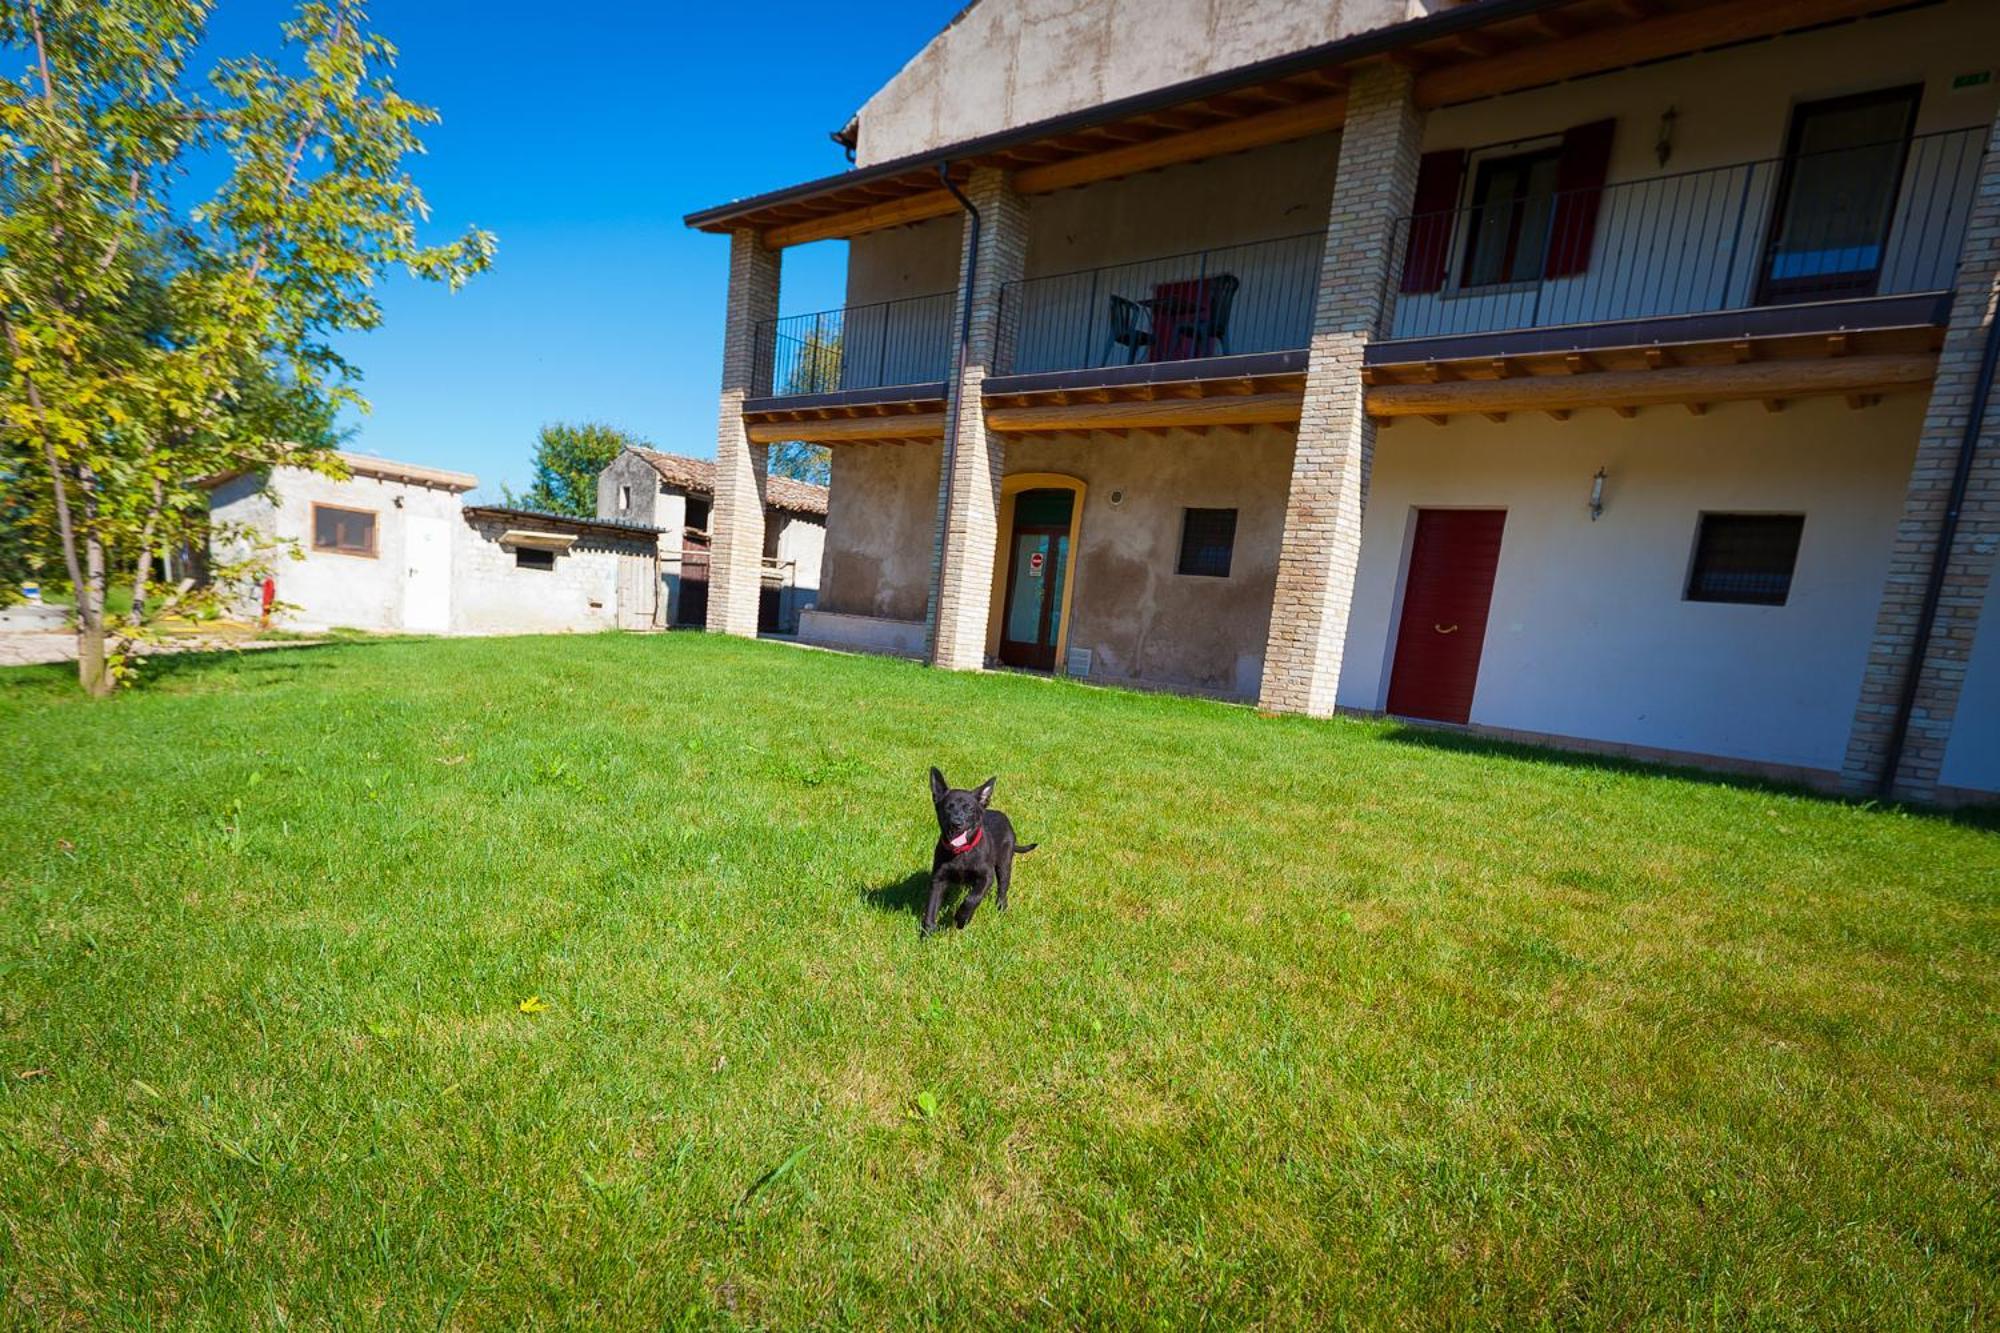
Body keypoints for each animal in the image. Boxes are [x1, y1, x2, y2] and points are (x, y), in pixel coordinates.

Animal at [928, 764, 1040, 940]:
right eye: (947, 808)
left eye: (969, 809)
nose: (956, 823)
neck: (961, 851)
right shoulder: (938, 878)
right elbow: (931, 908)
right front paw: (927, 935)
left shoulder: (987, 876)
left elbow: (972, 898)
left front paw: (961, 919)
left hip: (1004, 864)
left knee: (1002, 888)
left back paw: (1001, 908)